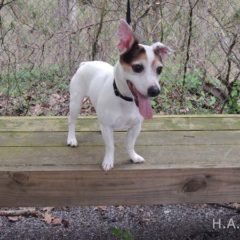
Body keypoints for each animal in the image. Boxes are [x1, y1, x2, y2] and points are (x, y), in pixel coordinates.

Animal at [67, 19, 172, 172]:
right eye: (137, 67)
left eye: (159, 69)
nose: (155, 90)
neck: (125, 99)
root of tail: (85, 64)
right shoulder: (108, 127)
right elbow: (110, 146)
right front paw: (108, 161)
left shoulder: (136, 127)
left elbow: (130, 144)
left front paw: (133, 156)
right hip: (75, 102)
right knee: (72, 121)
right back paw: (71, 139)